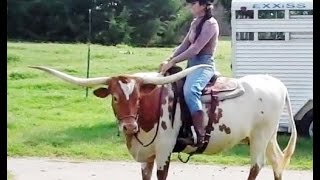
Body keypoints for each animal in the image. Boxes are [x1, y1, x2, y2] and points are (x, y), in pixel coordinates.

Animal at [31, 64, 296, 180]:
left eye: (138, 97)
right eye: (115, 97)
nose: (129, 127)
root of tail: (275, 82)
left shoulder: (164, 151)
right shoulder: (145, 158)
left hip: (259, 137)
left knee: (256, 167)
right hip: (266, 137)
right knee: (276, 163)